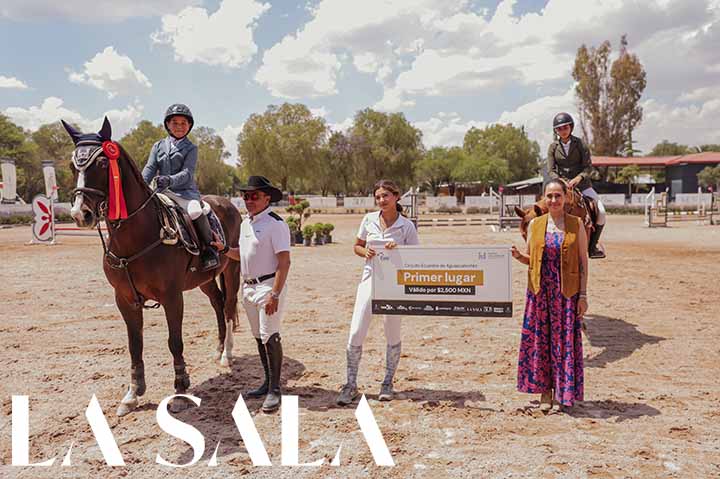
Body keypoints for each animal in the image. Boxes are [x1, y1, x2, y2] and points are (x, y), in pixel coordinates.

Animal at [62, 117, 242, 416]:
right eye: (72, 165)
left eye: (102, 163)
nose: (80, 214)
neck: (137, 235)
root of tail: (225, 201)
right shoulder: (125, 299)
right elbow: (135, 345)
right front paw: (133, 393)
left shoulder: (172, 296)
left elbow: (175, 341)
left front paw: (180, 390)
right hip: (205, 280)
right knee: (217, 302)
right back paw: (218, 350)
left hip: (231, 270)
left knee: (228, 307)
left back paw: (226, 355)